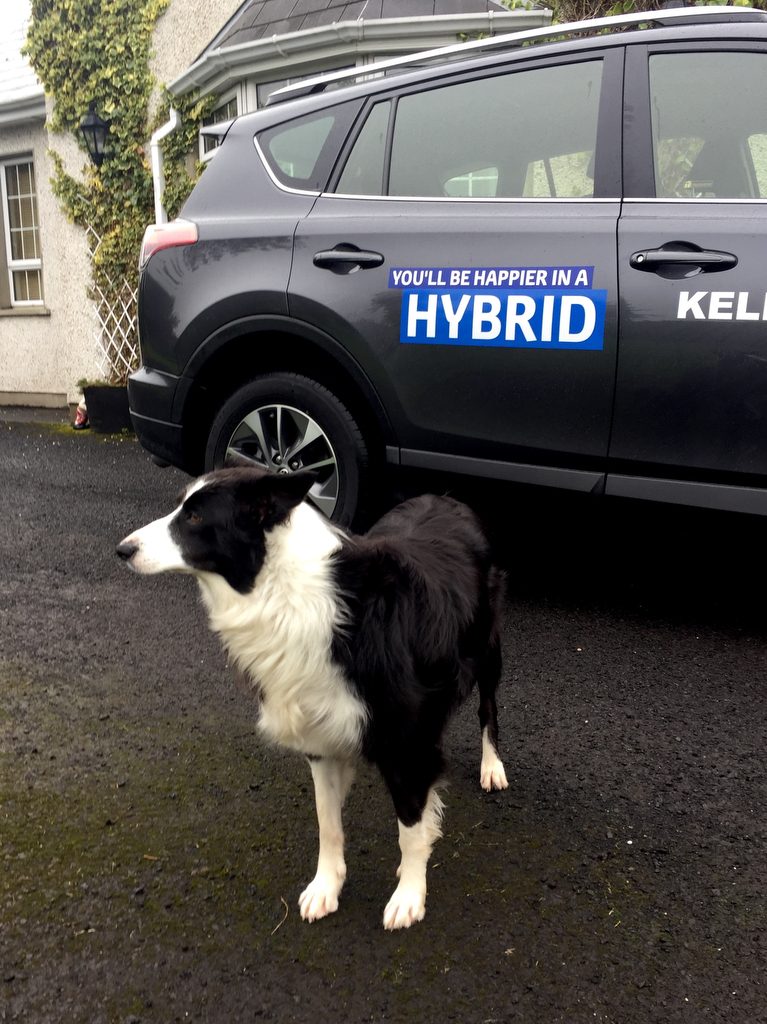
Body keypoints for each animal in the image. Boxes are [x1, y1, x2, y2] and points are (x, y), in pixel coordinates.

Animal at [115, 468, 507, 933]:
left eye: (194, 517)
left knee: (488, 708)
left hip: (487, 650)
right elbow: (328, 821)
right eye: (181, 507)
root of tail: (445, 497)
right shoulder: (319, 737)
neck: (282, 590)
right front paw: (327, 885)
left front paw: (410, 894)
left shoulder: (404, 743)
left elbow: (409, 828)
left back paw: (491, 766)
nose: (123, 550)